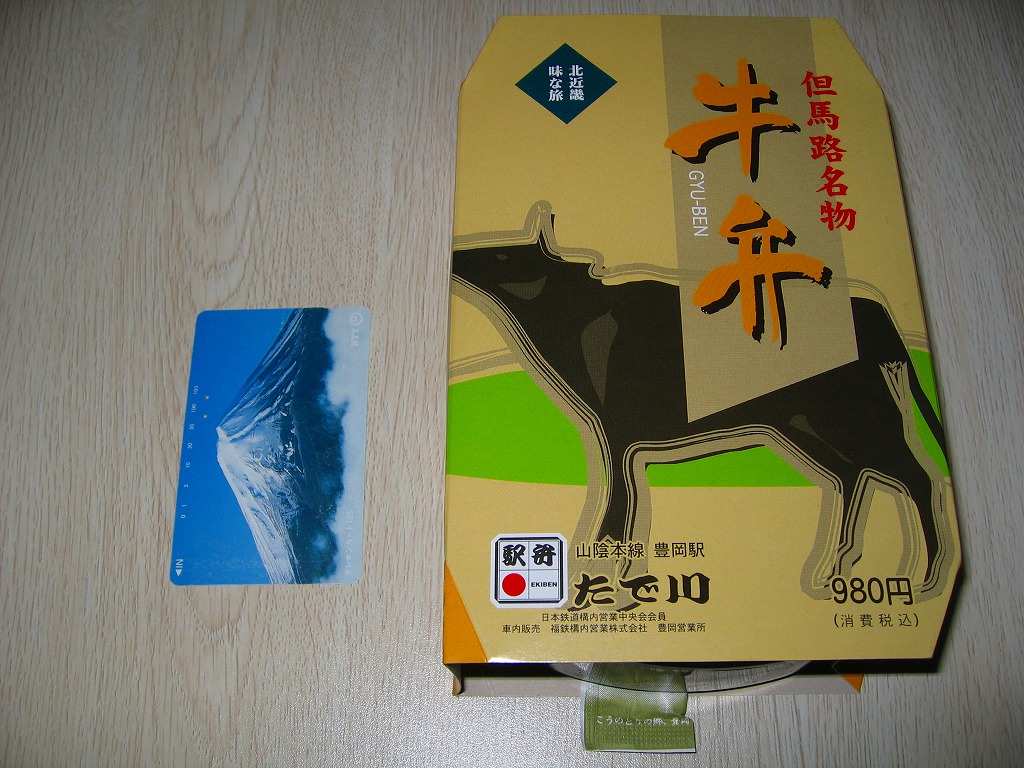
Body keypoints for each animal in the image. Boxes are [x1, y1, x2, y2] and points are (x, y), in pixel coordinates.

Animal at [450, 202, 955, 601]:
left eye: (501, 253)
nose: (456, 256)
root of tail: (878, 318)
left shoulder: (616, 433)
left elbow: (616, 509)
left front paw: (599, 574)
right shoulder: (623, 440)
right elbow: (627, 507)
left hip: (853, 417)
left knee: (917, 477)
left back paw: (923, 577)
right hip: (807, 426)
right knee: (856, 478)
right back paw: (835, 570)